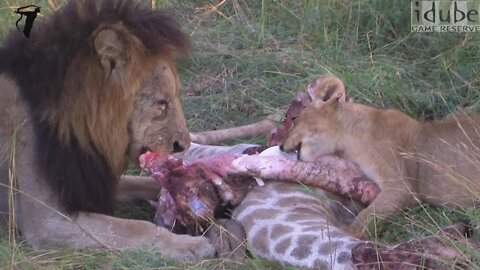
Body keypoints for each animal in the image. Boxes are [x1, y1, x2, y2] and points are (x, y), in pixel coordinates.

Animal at [0, 0, 214, 262]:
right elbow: (133, 228)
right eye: (162, 104)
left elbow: (141, 183)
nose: (182, 145)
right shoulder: (46, 220)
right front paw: (190, 245)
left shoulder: (92, 180)